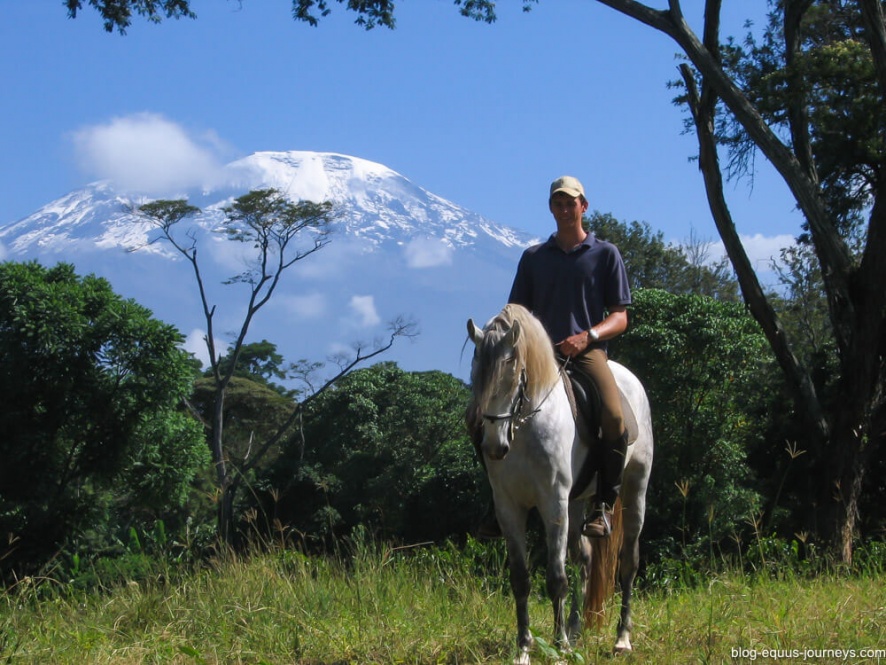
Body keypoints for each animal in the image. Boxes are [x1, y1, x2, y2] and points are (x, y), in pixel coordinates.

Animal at [468, 304, 656, 660]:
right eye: (476, 370)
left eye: (512, 368)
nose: (494, 447)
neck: (525, 428)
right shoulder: (509, 507)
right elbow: (521, 579)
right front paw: (524, 650)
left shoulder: (552, 503)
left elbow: (556, 578)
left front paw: (559, 648)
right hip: (578, 501)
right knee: (585, 560)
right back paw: (576, 628)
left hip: (634, 488)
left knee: (628, 562)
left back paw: (621, 639)